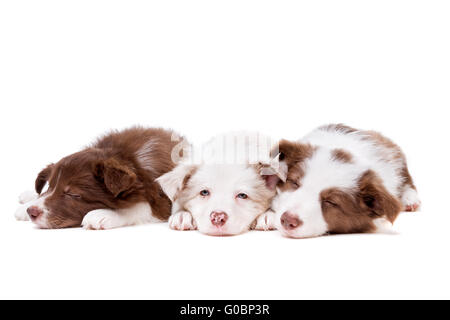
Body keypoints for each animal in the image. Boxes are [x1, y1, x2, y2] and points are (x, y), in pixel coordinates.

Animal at [14, 126, 185, 229]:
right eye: (50, 186)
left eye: (73, 194)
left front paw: (103, 214)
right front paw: (26, 205)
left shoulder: (161, 200)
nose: (31, 212)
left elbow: (140, 208)